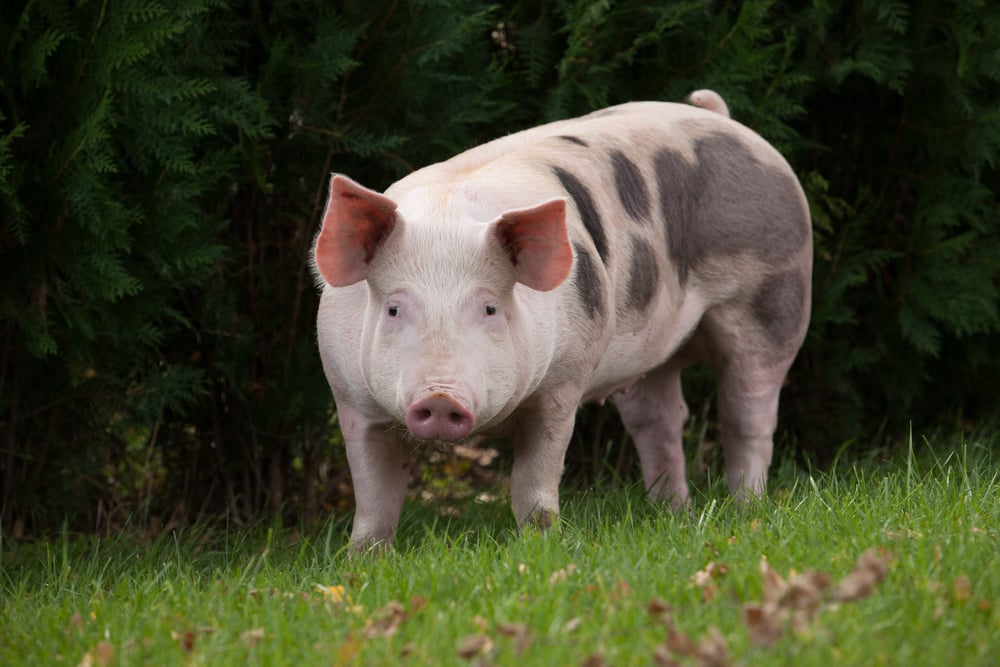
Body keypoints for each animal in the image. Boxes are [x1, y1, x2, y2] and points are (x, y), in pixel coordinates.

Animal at [314, 93, 811, 550]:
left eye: (490, 308)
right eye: (394, 308)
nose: (440, 396)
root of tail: (722, 117)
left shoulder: (562, 384)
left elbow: (533, 480)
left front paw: (540, 544)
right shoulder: (352, 401)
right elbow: (373, 497)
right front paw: (363, 561)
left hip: (775, 300)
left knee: (746, 413)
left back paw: (747, 510)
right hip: (647, 346)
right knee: (660, 418)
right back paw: (671, 513)